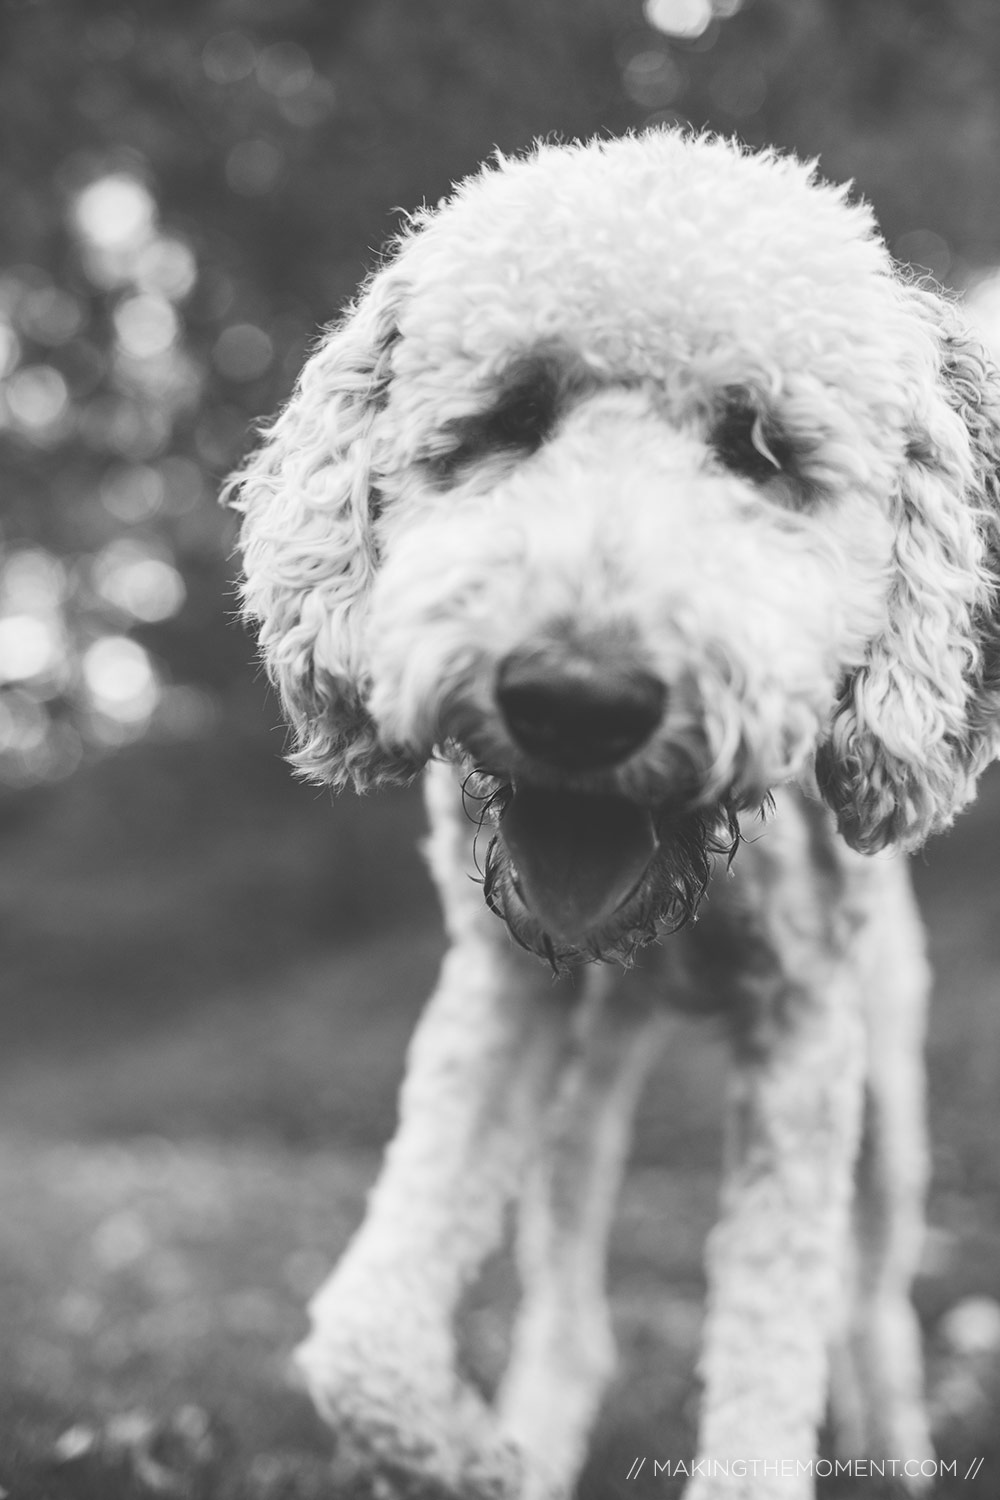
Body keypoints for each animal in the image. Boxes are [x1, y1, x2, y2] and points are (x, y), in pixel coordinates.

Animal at [230, 132, 1000, 1500]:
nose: (575, 701)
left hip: (890, 1099)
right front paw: (471, 1457)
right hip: (583, 1085)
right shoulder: (495, 996)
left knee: (869, 1298)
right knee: (573, 1308)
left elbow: (769, 1372)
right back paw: (534, 1428)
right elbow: (360, 1342)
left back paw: (901, 1446)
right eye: (506, 418)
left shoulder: (807, 1044)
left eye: (762, 449)